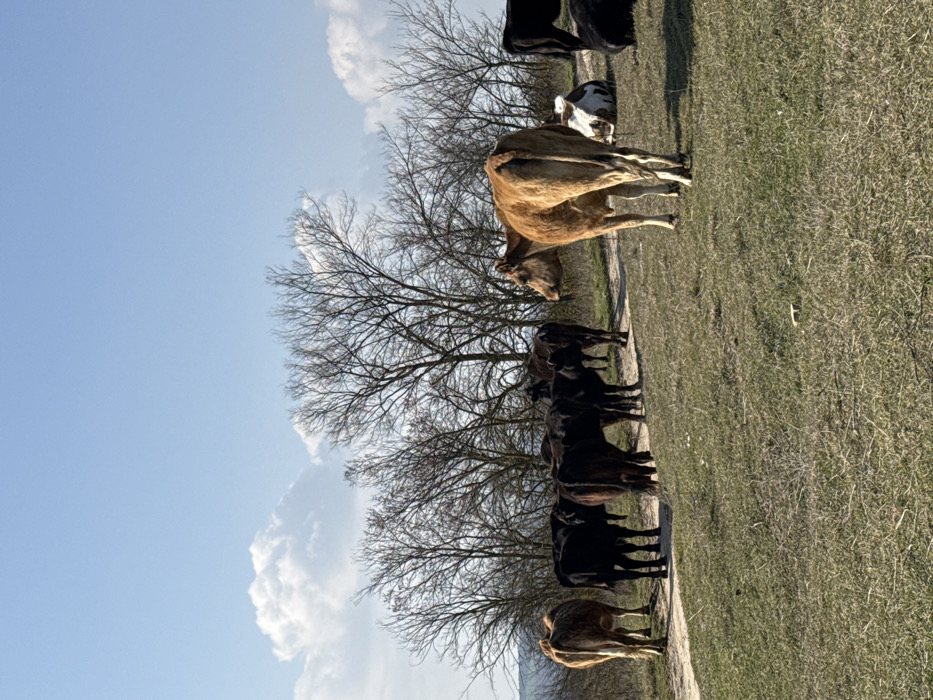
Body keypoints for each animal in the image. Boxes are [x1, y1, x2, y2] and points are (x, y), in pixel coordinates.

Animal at [486, 125, 689, 299]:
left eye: (522, 280)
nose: (553, 297)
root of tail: (496, 158)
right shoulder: (601, 193)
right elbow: (634, 193)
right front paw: (670, 189)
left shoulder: (593, 227)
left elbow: (632, 219)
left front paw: (668, 219)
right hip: (575, 146)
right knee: (624, 156)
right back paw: (679, 165)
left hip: (573, 177)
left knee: (622, 168)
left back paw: (682, 177)